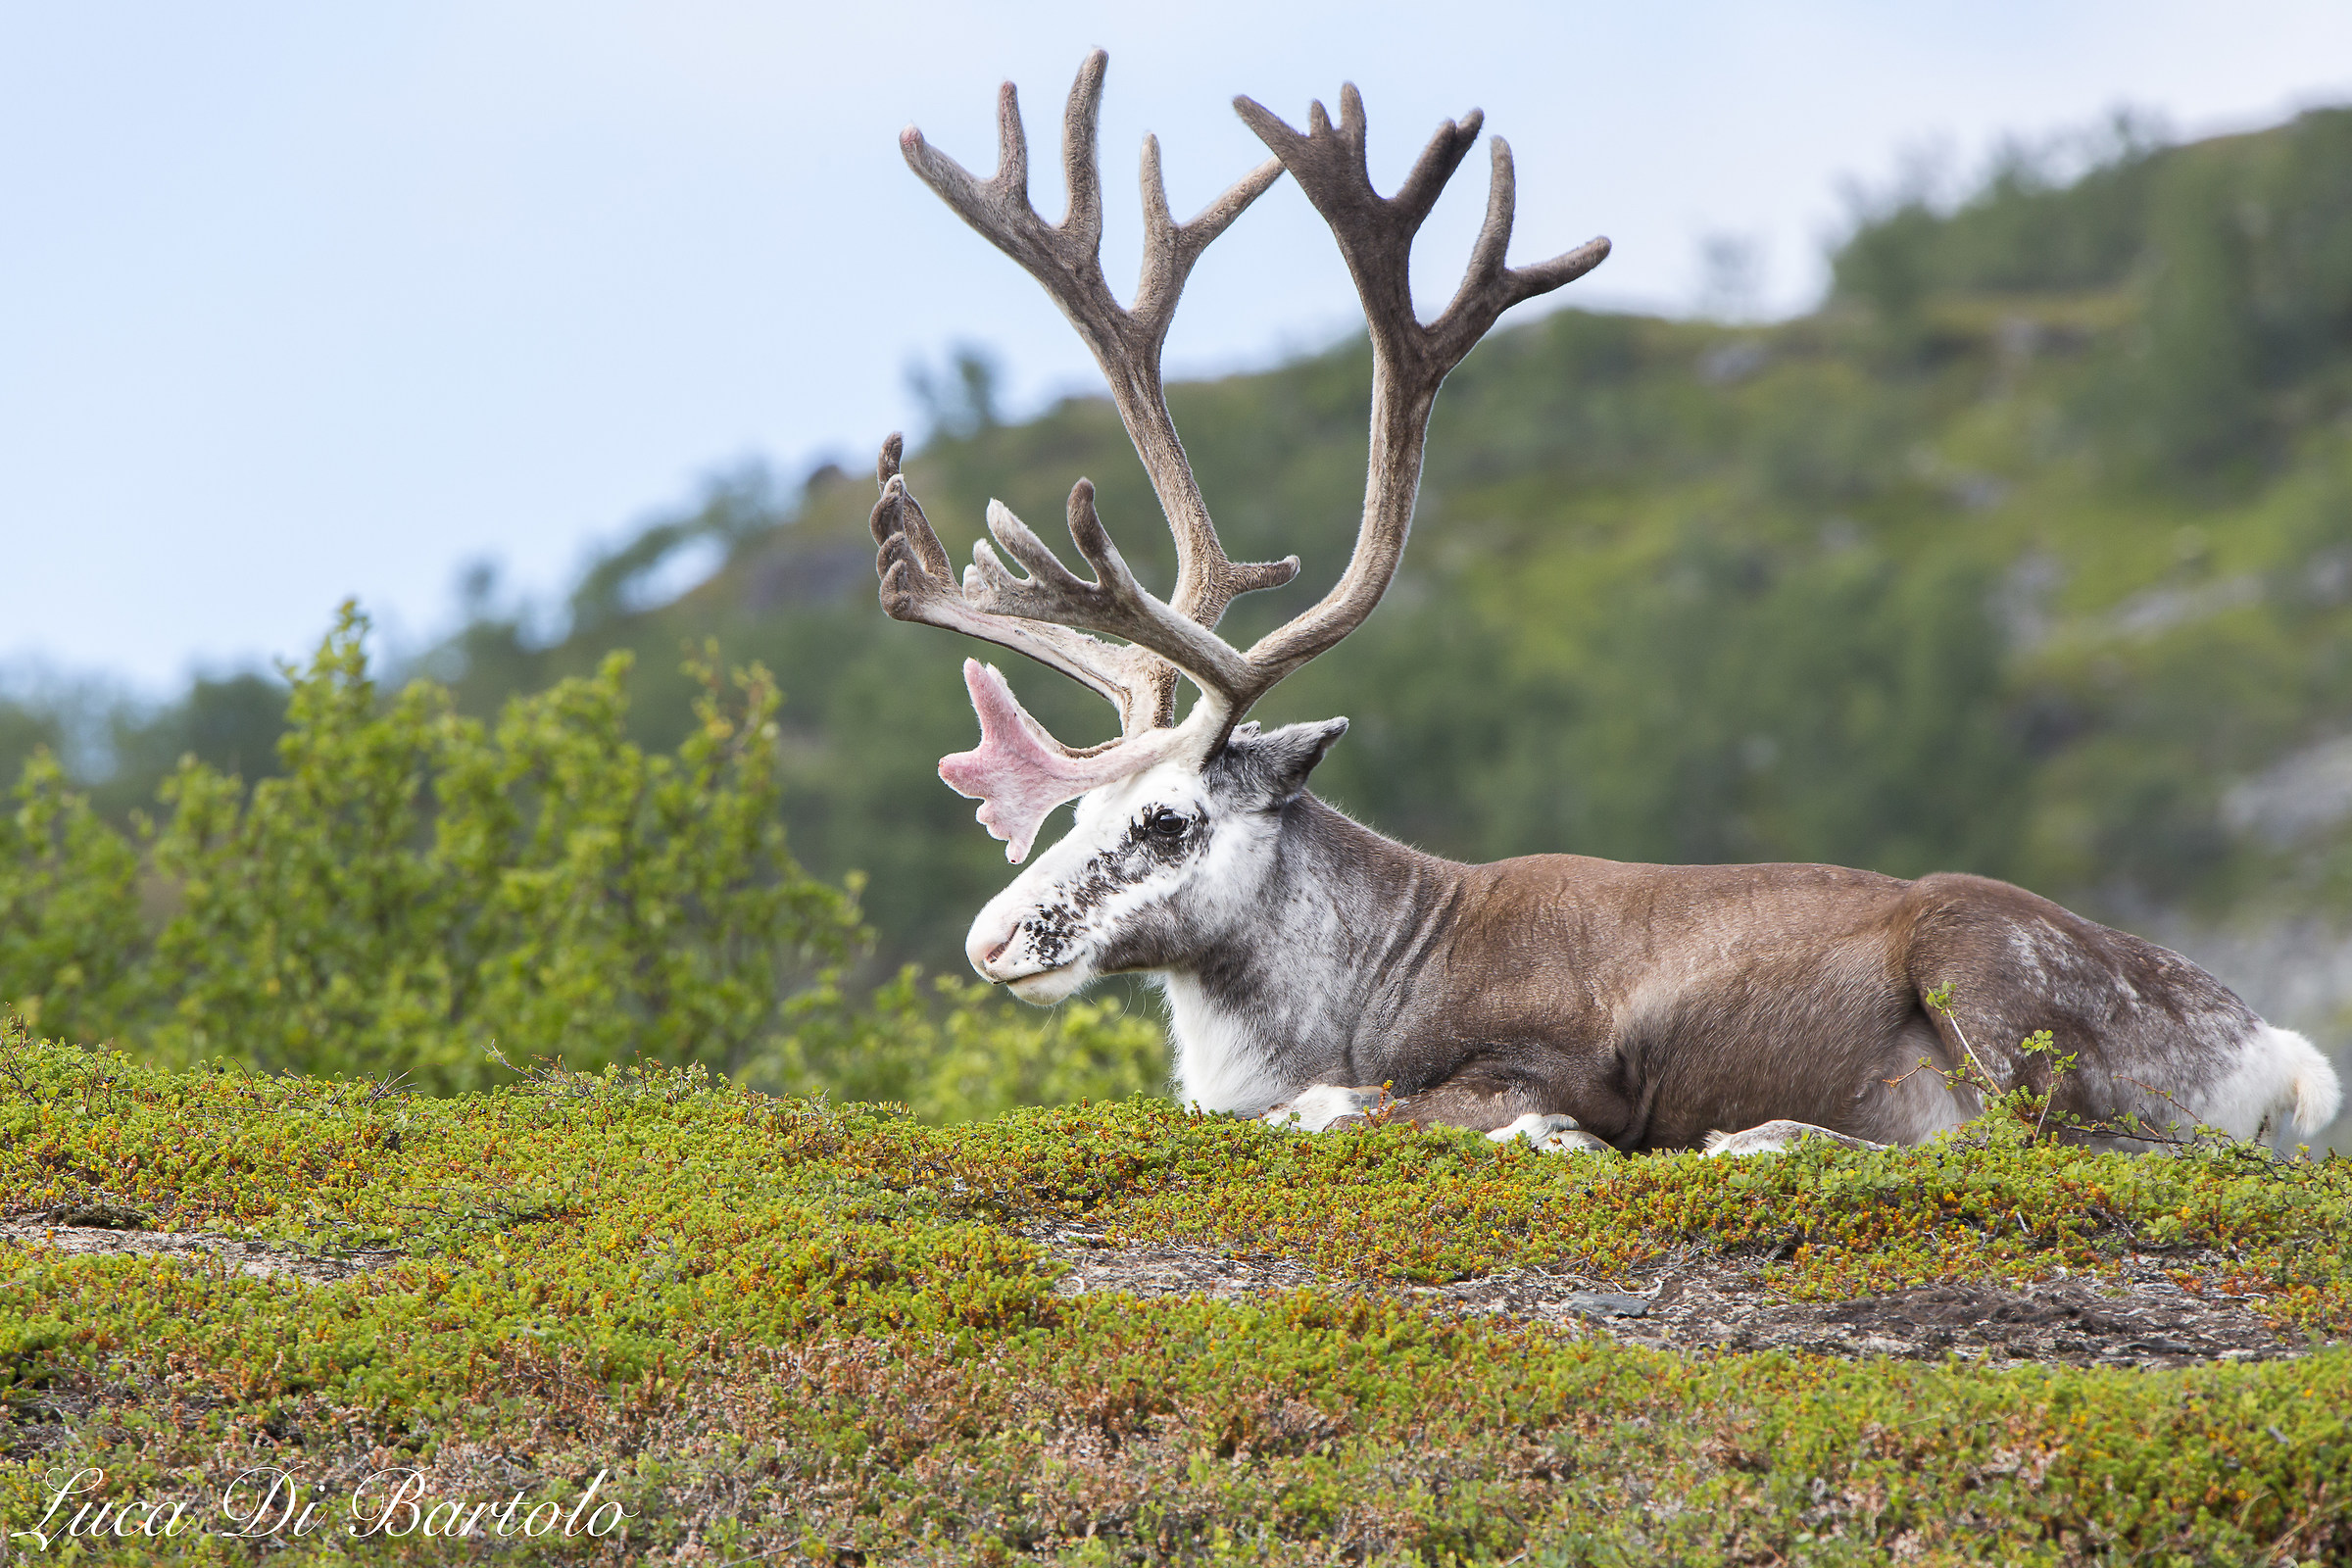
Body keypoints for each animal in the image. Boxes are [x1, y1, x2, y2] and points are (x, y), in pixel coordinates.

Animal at [867, 52, 2342, 1158]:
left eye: (1167, 819)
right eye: (1076, 810)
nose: (992, 936)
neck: (1354, 982)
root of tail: (2279, 1056)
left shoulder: (1555, 1055)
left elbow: (1365, 1107)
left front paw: (1534, 1134)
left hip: (1989, 973)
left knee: (2022, 1138)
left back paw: (1766, 1137)